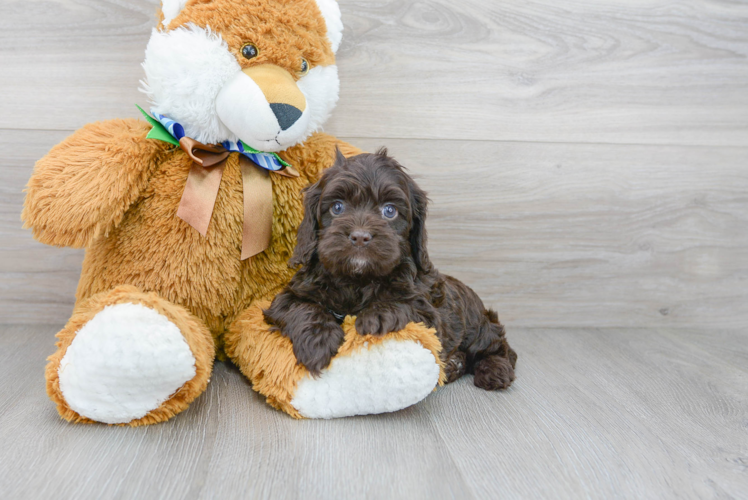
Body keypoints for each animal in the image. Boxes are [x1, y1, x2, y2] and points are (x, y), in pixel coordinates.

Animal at [266, 147, 516, 386]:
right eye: (337, 207)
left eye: (389, 211)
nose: (360, 237)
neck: (357, 279)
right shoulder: (288, 296)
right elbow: (302, 307)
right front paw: (318, 341)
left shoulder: (429, 315)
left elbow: (406, 304)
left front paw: (375, 316)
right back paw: (455, 365)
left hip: (477, 326)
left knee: (499, 346)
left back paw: (495, 371)